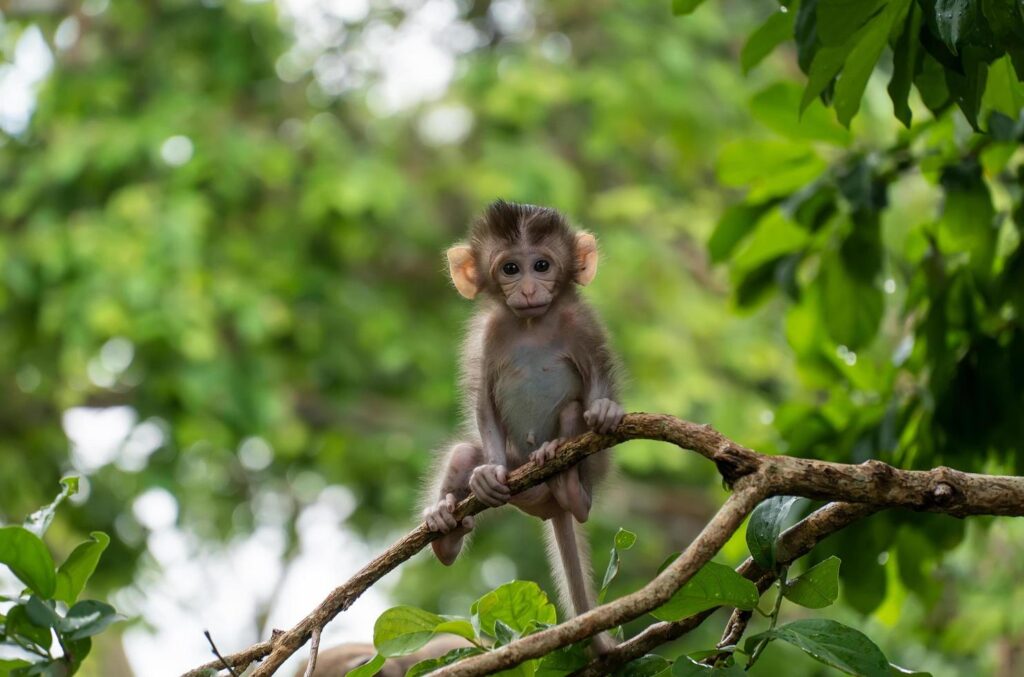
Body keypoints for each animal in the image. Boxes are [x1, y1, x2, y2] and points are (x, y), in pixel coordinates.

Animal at [423, 199, 622, 643]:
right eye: (511, 268)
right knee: (463, 453)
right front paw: (489, 473)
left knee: (572, 413)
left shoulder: (582, 324)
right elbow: (483, 404)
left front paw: (605, 410)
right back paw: (446, 529)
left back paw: (569, 486)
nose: (529, 289)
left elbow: (598, 381)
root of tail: (552, 508)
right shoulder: (489, 334)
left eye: (542, 265)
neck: (533, 323)